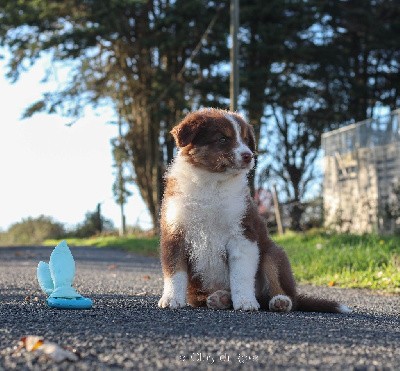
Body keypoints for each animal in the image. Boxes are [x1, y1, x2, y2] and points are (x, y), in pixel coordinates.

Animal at [158, 108, 352, 314]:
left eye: (245, 139)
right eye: (222, 139)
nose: (248, 155)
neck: (211, 183)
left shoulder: (243, 233)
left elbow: (241, 275)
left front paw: (245, 302)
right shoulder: (174, 233)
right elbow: (174, 272)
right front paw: (171, 299)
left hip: (272, 253)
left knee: (283, 292)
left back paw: (280, 301)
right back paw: (220, 298)